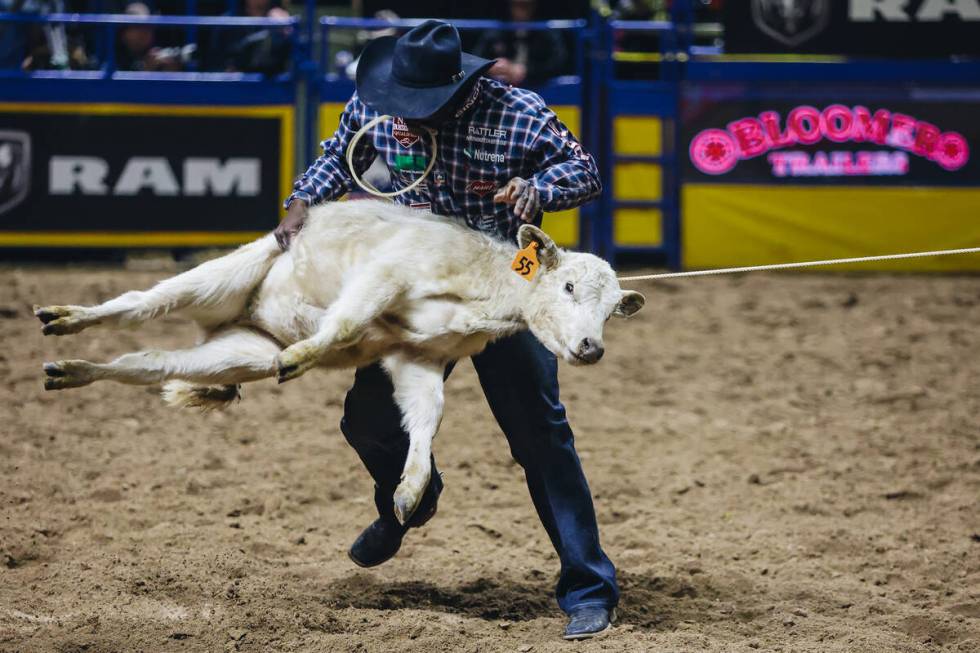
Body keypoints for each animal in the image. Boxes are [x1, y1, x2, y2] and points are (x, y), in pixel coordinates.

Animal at [34, 201, 648, 524]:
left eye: (612, 311)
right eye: (567, 286)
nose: (591, 348)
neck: (485, 290)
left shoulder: (420, 358)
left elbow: (426, 416)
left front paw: (409, 491)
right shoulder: (382, 277)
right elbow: (349, 323)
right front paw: (304, 355)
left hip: (235, 354)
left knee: (151, 362)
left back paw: (70, 370)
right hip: (213, 280)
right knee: (137, 306)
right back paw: (64, 317)